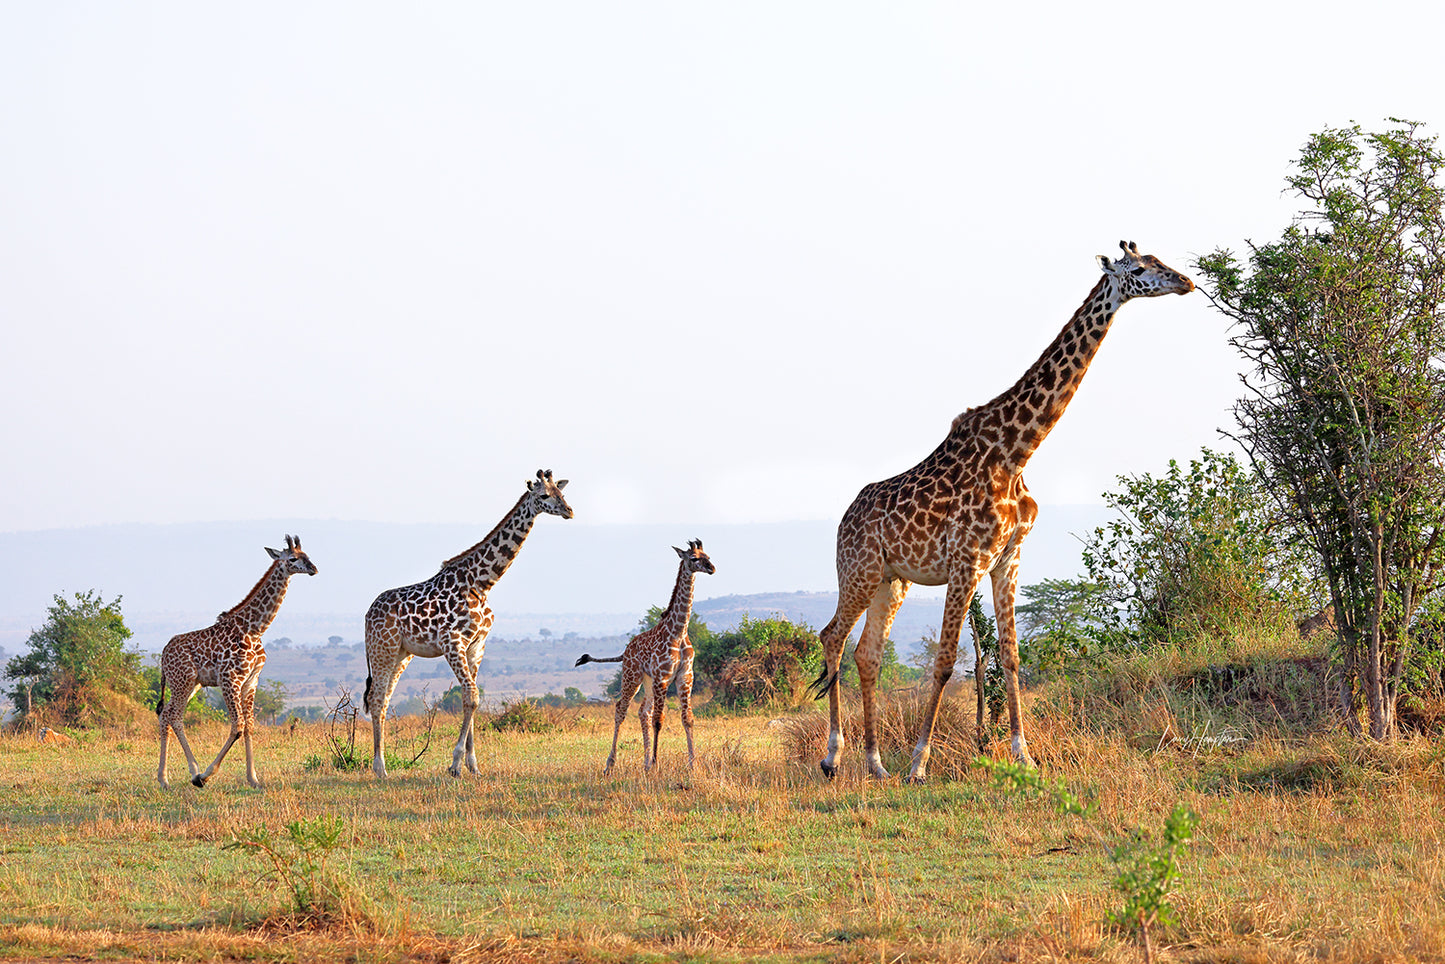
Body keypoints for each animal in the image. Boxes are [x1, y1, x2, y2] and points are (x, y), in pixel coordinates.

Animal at [156, 534, 318, 789]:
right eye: (293, 558)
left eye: (307, 555)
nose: (314, 568)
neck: (255, 629)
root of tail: (163, 654)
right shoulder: (229, 679)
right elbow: (237, 726)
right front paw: (206, 775)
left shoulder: (251, 681)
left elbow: (250, 726)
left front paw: (253, 779)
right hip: (183, 681)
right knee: (174, 716)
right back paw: (192, 773)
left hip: (190, 684)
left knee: (166, 715)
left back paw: (164, 778)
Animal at [363, 469, 573, 778]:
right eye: (544, 495)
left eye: (562, 493)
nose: (569, 511)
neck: (482, 583)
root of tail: (367, 614)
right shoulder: (453, 642)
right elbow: (472, 697)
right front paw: (455, 764)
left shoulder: (477, 646)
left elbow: (472, 697)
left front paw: (473, 765)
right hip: (382, 650)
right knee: (376, 699)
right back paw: (380, 767)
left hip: (402, 654)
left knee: (386, 698)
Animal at [575, 540, 715, 772]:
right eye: (694, 558)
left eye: (708, 556)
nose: (712, 568)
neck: (679, 631)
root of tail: (625, 651)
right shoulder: (663, 677)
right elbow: (659, 720)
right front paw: (657, 763)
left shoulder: (685, 676)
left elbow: (687, 718)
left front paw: (692, 764)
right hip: (632, 676)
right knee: (621, 709)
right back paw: (610, 765)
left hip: (647, 680)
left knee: (643, 711)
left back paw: (645, 763)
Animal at [810, 242, 1194, 782]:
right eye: (1140, 269)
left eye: (1162, 261)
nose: (1186, 282)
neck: (1017, 450)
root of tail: (843, 520)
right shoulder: (966, 560)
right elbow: (946, 661)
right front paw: (920, 764)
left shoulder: (1007, 558)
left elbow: (1011, 656)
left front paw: (1023, 754)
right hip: (859, 570)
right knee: (832, 637)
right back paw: (833, 756)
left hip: (893, 580)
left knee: (868, 655)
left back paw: (875, 764)